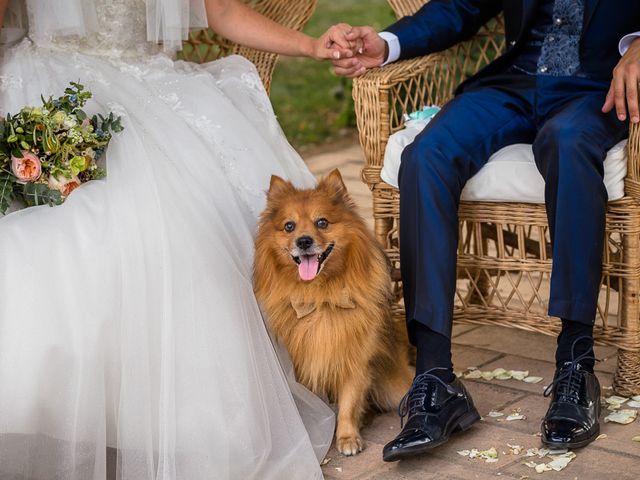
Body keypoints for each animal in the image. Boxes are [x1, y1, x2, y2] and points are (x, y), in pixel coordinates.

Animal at [252, 170, 412, 458]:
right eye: (289, 226)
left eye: (322, 222)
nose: (304, 241)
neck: (321, 297)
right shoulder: (306, 365)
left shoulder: (355, 361)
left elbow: (349, 402)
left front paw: (347, 437)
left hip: (393, 388)